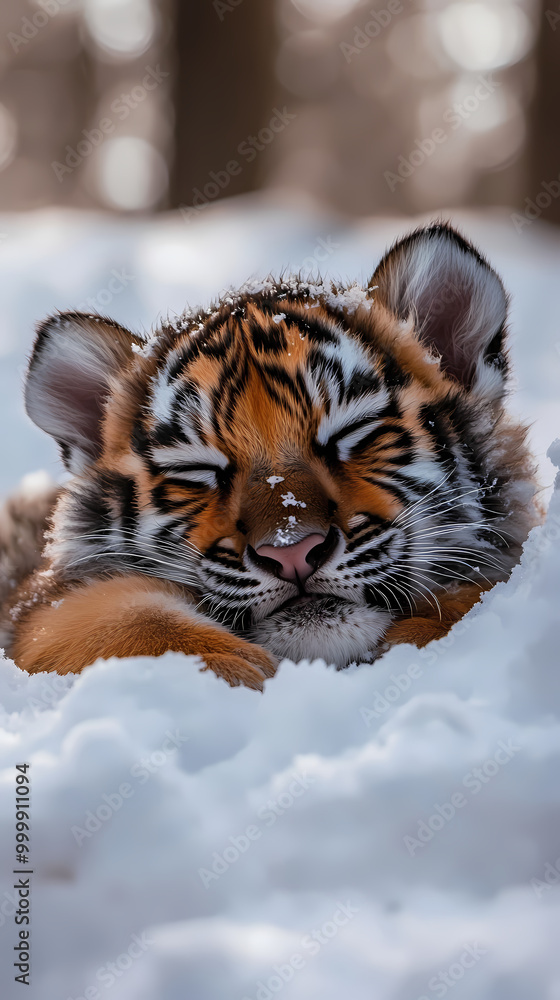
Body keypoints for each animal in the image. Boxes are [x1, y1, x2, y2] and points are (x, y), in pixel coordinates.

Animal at [0, 223, 540, 690]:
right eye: (199, 471)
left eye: (351, 433)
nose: (292, 553)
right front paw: (233, 668)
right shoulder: (40, 608)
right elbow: (115, 621)